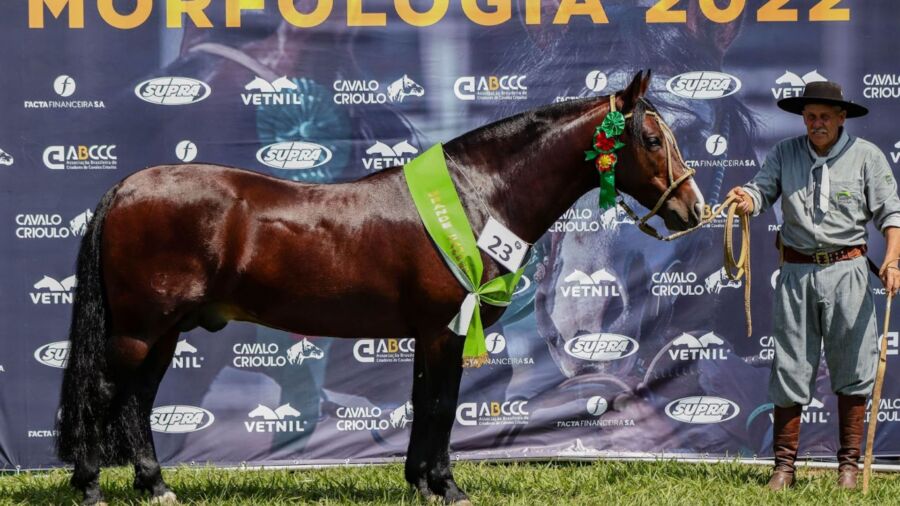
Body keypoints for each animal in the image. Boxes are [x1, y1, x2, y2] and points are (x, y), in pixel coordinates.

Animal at [57, 70, 703, 505]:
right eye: (651, 140)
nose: (693, 209)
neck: (476, 196)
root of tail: (127, 188)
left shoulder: (425, 333)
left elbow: (422, 403)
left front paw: (418, 482)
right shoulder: (444, 331)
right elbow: (441, 405)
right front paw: (447, 487)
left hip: (164, 332)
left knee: (137, 401)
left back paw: (155, 485)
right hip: (140, 329)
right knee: (105, 393)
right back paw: (91, 487)